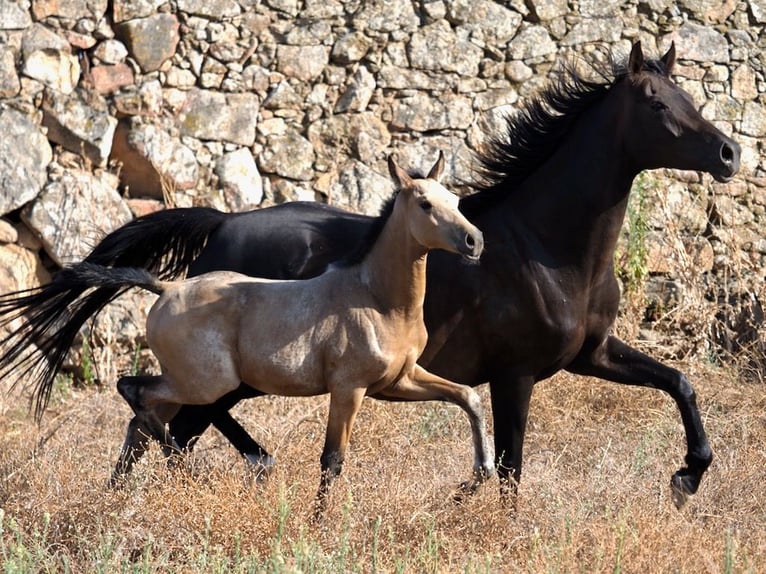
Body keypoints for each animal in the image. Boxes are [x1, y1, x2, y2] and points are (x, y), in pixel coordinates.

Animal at [22, 154, 493, 515]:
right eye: (425, 204)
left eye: (455, 200)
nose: (475, 241)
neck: (377, 299)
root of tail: (167, 287)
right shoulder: (349, 388)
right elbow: (332, 459)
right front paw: (318, 523)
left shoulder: (398, 381)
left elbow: (467, 397)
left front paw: (477, 478)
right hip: (206, 383)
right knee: (135, 392)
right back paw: (187, 471)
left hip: (189, 383)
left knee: (140, 420)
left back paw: (116, 497)